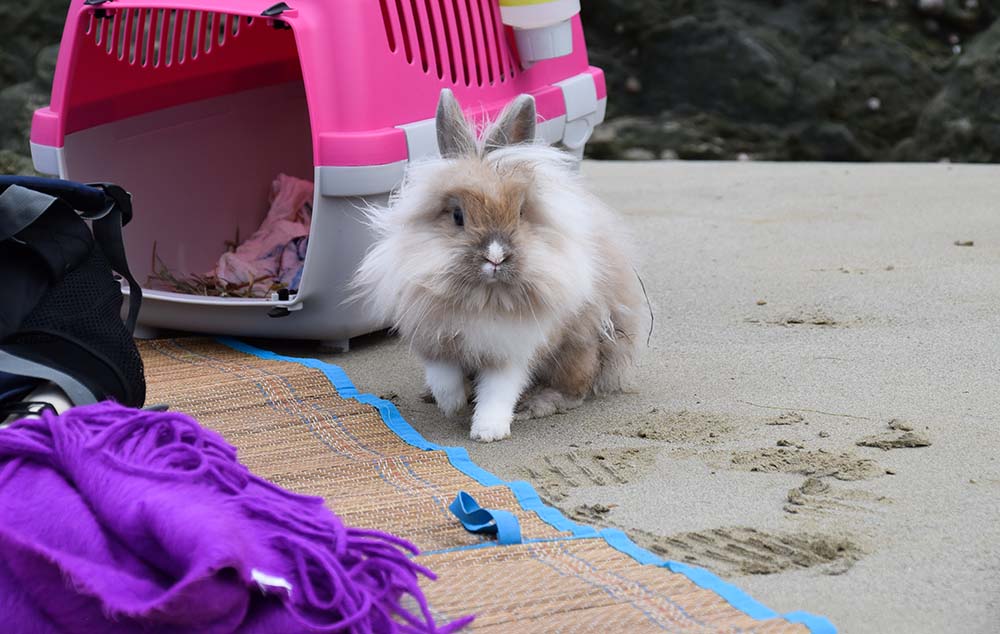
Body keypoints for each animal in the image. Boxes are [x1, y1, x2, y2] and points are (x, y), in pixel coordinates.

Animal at [351, 89, 647, 442]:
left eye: (520, 213)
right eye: (457, 216)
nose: (495, 256)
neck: (483, 296)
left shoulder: (511, 349)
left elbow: (499, 391)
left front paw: (488, 431)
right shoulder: (434, 339)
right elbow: (443, 375)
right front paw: (452, 404)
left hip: (578, 351)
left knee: (576, 389)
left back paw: (537, 403)